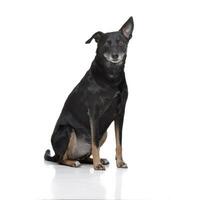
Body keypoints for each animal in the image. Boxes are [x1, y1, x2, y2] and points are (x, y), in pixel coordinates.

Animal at [44, 17, 134, 170]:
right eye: (106, 44)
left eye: (121, 43)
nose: (115, 55)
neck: (111, 77)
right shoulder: (94, 113)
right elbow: (95, 143)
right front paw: (97, 165)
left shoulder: (120, 113)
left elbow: (119, 142)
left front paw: (120, 162)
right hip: (67, 130)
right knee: (61, 159)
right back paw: (74, 162)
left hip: (104, 133)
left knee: (83, 156)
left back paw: (96, 160)